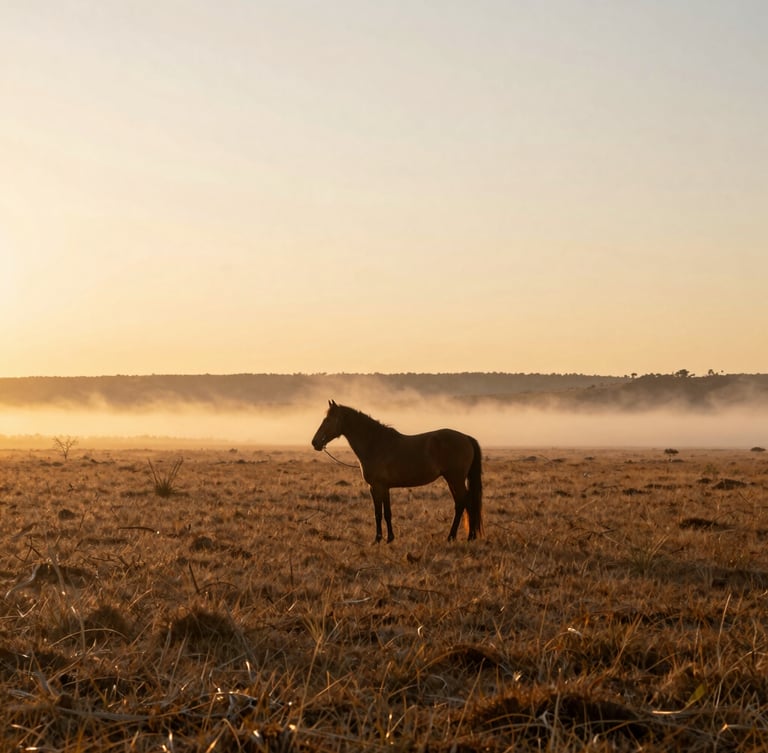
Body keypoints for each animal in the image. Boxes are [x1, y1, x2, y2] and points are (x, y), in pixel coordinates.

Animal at [311, 400, 483, 543]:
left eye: (328, 420)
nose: (315, 442)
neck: (376, 445)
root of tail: (466, 438)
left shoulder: (378, 487)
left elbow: (379, 513)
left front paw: (378, 539)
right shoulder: (381, 487)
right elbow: (385, 513)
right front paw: (389, 538)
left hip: (455, 479)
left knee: (465, 503)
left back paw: (463, 536)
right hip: (451, 480)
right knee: (461, 504)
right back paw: (459, 536)